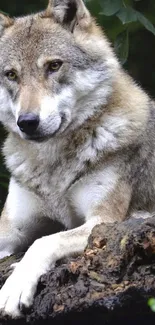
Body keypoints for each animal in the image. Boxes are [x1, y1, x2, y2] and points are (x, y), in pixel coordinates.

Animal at [0, 0, 154, 316]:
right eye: (11, 75)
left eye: (54, 66)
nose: (27, 122)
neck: (53, 166)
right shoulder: (9, 231)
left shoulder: (103, 221)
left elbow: (43, 241)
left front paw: (14, 288)